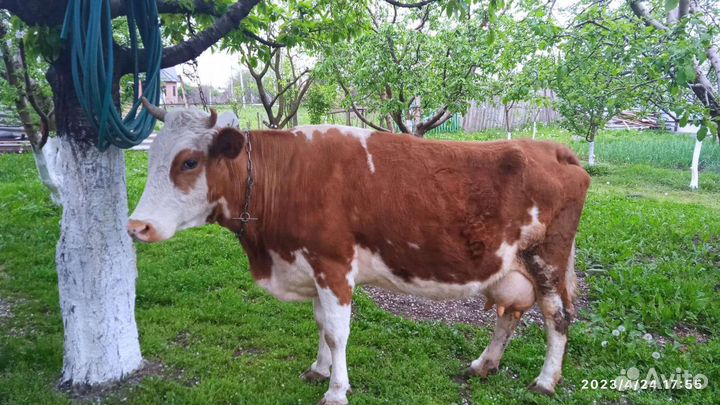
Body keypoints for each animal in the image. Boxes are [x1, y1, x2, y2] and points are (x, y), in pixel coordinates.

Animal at [128, 99, 590, 405]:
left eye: (189, 162)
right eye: (151, 158)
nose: (137, 226)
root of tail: (551, 148)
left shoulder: (332, 264)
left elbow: (337, 332)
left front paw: (336, 391)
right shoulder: (310, 266)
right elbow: (320, 323)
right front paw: (319, 370)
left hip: (547, 259)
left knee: (557, 319)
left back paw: (545, 380)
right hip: (512, 266)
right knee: (509, 313)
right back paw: (484, 364)